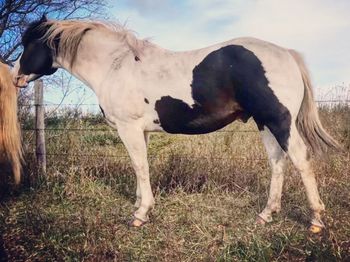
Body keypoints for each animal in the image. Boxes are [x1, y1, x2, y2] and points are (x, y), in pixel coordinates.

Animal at [13, 15, 340, 230]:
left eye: (30, 44)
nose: (15, 76)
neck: (115, 66)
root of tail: (286, 53)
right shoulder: (140, 130)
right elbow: (140, 167)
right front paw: (139, 204)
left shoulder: (128, 128)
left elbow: (140, 166)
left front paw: (141, 214)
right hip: (264, 123)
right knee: (277, 162)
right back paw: (266, 214)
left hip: (279, 120)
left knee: (300, 159)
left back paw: (315, 219)